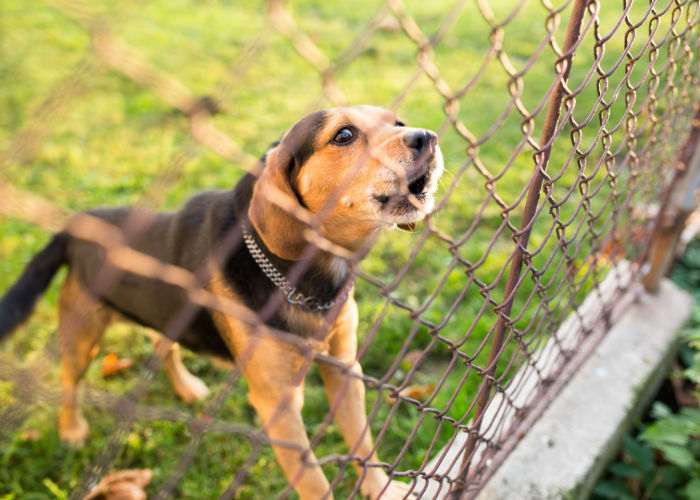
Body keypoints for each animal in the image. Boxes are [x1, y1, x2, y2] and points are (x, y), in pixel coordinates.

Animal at [0, 105, 442, 500]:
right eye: (344, 135)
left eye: (398, 122)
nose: (429, 138)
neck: (305, 281)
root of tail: (74, 227)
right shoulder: (278, 406)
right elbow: (315, 483)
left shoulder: (345, 370)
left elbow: (363, 443)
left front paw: (380, 488)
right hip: (83, 334)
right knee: (69, 379)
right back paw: (71, 430)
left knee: (162, 345)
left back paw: (187, 388)